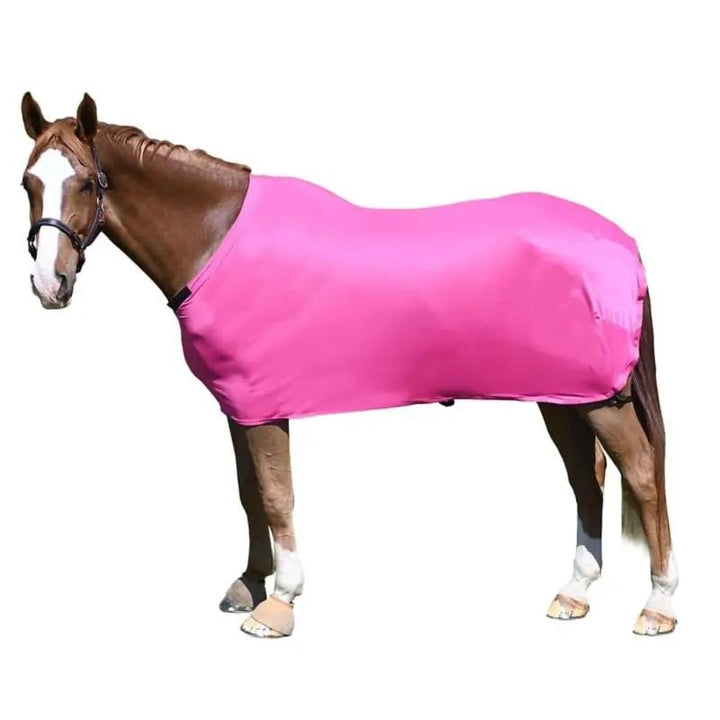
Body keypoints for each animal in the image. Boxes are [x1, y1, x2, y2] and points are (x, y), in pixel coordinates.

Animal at [20, 92, 678, 637]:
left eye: (85, 183)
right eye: (28, 182)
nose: (49, 285)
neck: (217, 239)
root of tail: (621, 243)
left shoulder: (264, 407)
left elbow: (277, 496)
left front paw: (278, 604)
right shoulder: (240, 405)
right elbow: (249, 495)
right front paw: (249, 583)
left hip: (601, 399)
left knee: (643, 476)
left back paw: (658, 605)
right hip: (561, 397)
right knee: (587, 478)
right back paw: (574, 593)